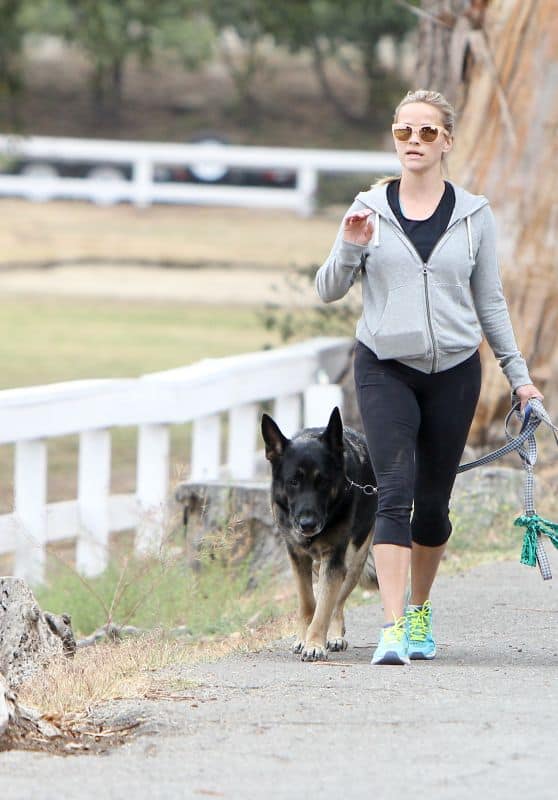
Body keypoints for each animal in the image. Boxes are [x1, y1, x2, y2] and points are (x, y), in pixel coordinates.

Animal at [264, 406, 380, 664]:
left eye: (323, 482)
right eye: (293, 482)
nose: (308, 525)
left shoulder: (335, 559)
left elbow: (324, 607)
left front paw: (315, 644)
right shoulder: (297, 558)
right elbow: (308, 603)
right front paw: (303, 639)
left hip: (354, 560)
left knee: (337, 601)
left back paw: (334, 635)